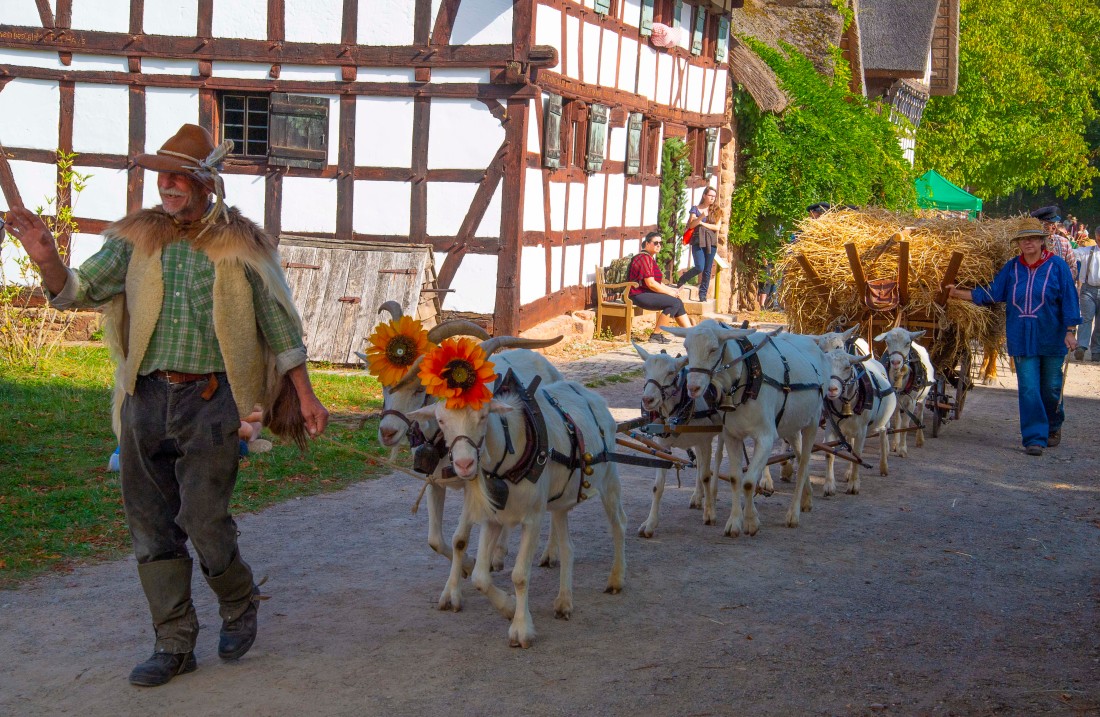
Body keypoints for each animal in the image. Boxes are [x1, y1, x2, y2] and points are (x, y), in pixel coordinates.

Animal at [633, 343, 726, 536]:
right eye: (644, 369)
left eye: (671, 373)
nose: (647, 399)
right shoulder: (663, 445)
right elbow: (658, 486)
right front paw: (650, 523)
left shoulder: (705, 441)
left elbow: (706, 475)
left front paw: (710, 514)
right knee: (700, 462)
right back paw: (697, 496)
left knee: (718, 459)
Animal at [660, 321, 827, 534]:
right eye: (686, 347)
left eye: (713, 349)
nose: (693, 388)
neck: (747, 380)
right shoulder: (732, 435)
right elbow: (736, 479)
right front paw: (734, 522)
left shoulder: (765, 437)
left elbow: (748, 482)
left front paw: (751, 522)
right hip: (791, 424)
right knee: (797, 455)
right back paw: (807, 498)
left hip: (812, 422)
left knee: (804, 464)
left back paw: (793, 514)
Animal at [871, 327, 932, 457]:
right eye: (887, 342)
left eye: (907, 343)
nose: (895, 362)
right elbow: (888, 424)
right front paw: (886, 448)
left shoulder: (911, 401)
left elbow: (905, 425)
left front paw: (903, 449)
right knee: (897, 420)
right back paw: (895, 444)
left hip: (922, 398)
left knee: (920, 415)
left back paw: (919, 440)